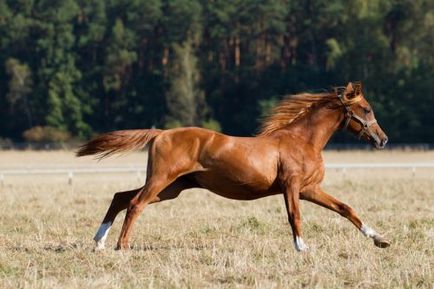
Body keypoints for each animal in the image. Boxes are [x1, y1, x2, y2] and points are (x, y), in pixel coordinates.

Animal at [77, 80, 390, 250]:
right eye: (366, 109)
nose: (383, 139)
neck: (302, 140)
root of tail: (161, 133)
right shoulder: (292, 186)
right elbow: (295, 216)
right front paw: (302, 248)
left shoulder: (309, 188)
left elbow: (346, 208)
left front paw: (379, 239)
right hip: (161, 180)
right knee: (134, 204)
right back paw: (121, 246)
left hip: (172, 188)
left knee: (120, 197)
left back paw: (99, 242)